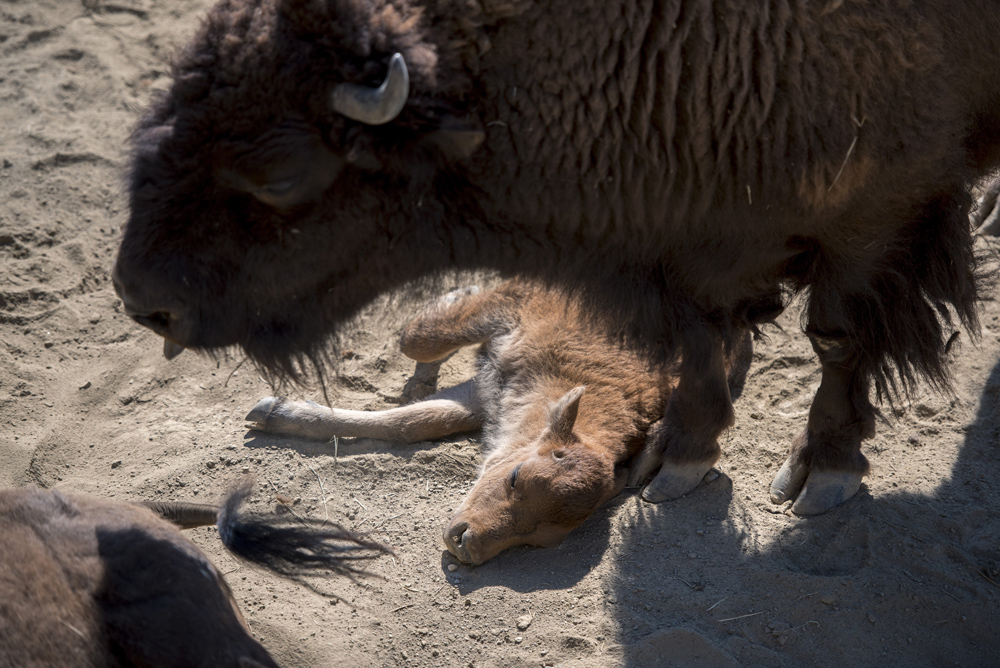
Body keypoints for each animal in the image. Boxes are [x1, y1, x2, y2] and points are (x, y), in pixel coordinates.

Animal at [111, 0, 992, 516]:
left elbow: (837, 342)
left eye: (281, 171)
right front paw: (681, 459)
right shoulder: (696, 250)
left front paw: (828, 473)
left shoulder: (879, 224)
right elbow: (704, 340)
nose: (142, 298)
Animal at [248, 282, 752, 564]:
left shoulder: (490, 397)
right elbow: (419, 343)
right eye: (515, 478)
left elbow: (415, 422)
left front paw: (273, 412)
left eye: (539, 538)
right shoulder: (506, 331)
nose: (464, 542)